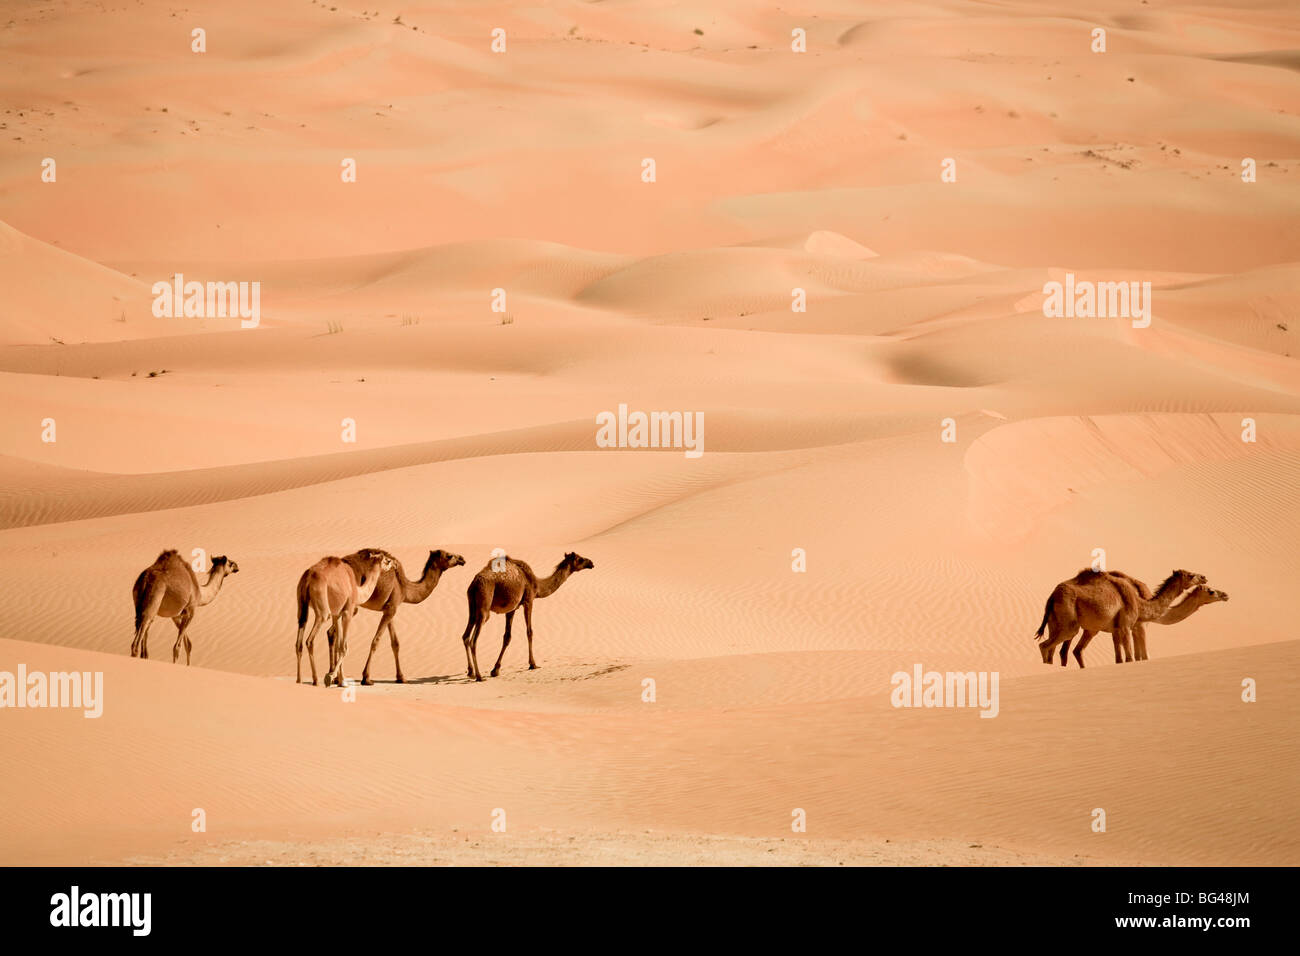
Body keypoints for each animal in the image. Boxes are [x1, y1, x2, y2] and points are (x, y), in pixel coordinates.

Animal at [296, 546, 392, 686]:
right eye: (386, 560)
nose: (393, 563)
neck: (358, 590)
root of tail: (308, 577)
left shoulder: (337, 614)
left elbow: (339, 645)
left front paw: (341, 680)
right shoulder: (348, 612)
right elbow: (344, 647)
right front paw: (331, 677)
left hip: (301, 604)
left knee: (299, 637)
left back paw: (298, 680)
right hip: (323, 609)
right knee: (310, 640)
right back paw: (315, 680)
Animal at [330, 548, 467, 686]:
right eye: (449, 556)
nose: (462, 559)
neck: (404, 588)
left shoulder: (390, 608)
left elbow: (395, 643)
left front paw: (401, 677)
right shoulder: (391, 608)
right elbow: (376, 641)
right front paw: (366, 678)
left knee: (331, 633)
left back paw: (334, 677)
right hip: (351, 604)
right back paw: (339, 678)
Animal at [462, 554, 595, 681]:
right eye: (580, 559)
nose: (591, 563)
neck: (536, 584)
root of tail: (474, 584)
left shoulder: (512, 608)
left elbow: (507, 637)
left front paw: (495, 670)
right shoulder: (528, 600)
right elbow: (529, 632)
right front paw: (533, 664)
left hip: (472, 606)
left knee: (466, 636)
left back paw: (471, 672)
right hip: (484, 605)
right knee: (474, 640)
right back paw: (479, 676)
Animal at [1034, 572, 1206, 671]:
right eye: (1190, 575)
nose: (1204, 577)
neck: (1140, 602)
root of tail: (1052, 596)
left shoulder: (1116, 629)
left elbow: (1119, 659)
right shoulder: (1127, 626)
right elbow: (1131, 658)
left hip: (1056, 623)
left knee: (1059, 649)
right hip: (1070, 622)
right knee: (1045, 645)